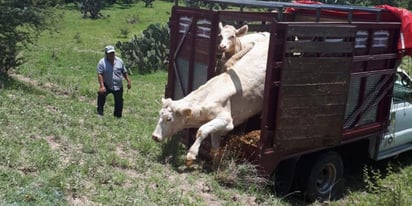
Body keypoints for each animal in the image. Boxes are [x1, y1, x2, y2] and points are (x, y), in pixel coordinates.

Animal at [151, 36, 270, 166]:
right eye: (159, 115)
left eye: (169, 119)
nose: (155, 136)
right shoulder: (218, 127)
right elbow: (214, 145)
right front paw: (216, 163)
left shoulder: (227, 120)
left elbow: (201, 130)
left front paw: (191, 154)